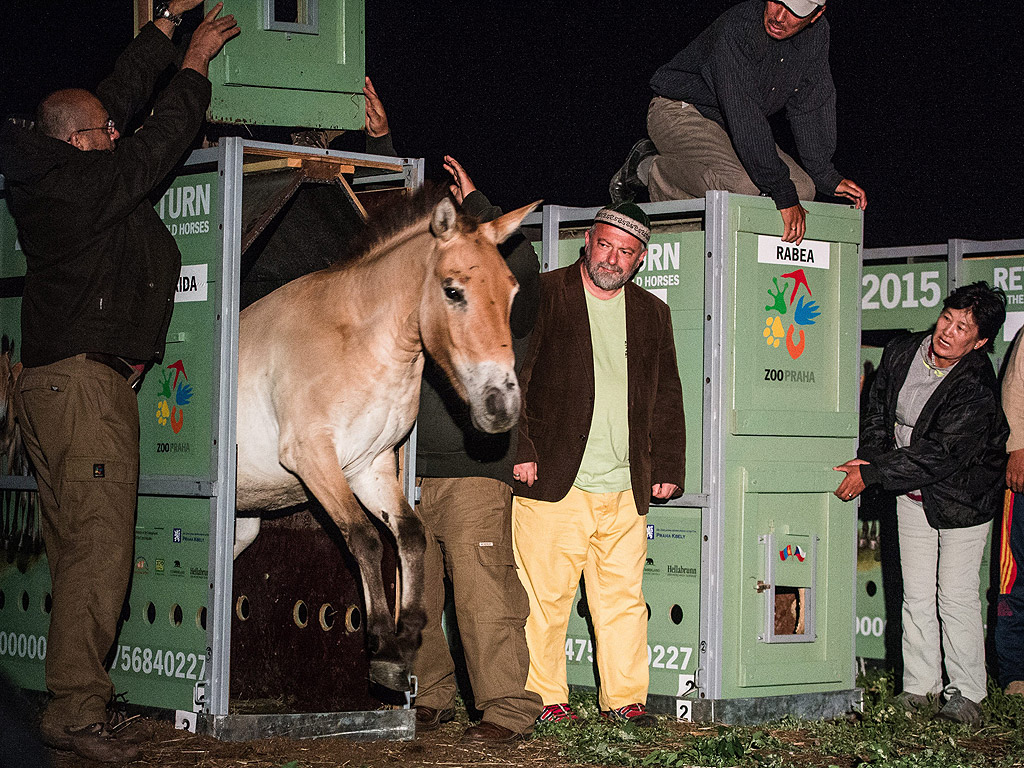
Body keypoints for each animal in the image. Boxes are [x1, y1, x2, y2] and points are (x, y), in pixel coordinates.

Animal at [232, 186, 536, 692]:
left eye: (512, 291)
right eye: (453, 290)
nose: (502, 405)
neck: (356, 340)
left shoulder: (369, 467)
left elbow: (410, 535)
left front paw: (407, 634)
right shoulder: (314, 458)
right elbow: (365, 539)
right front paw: (381, 642)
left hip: (242, 523)